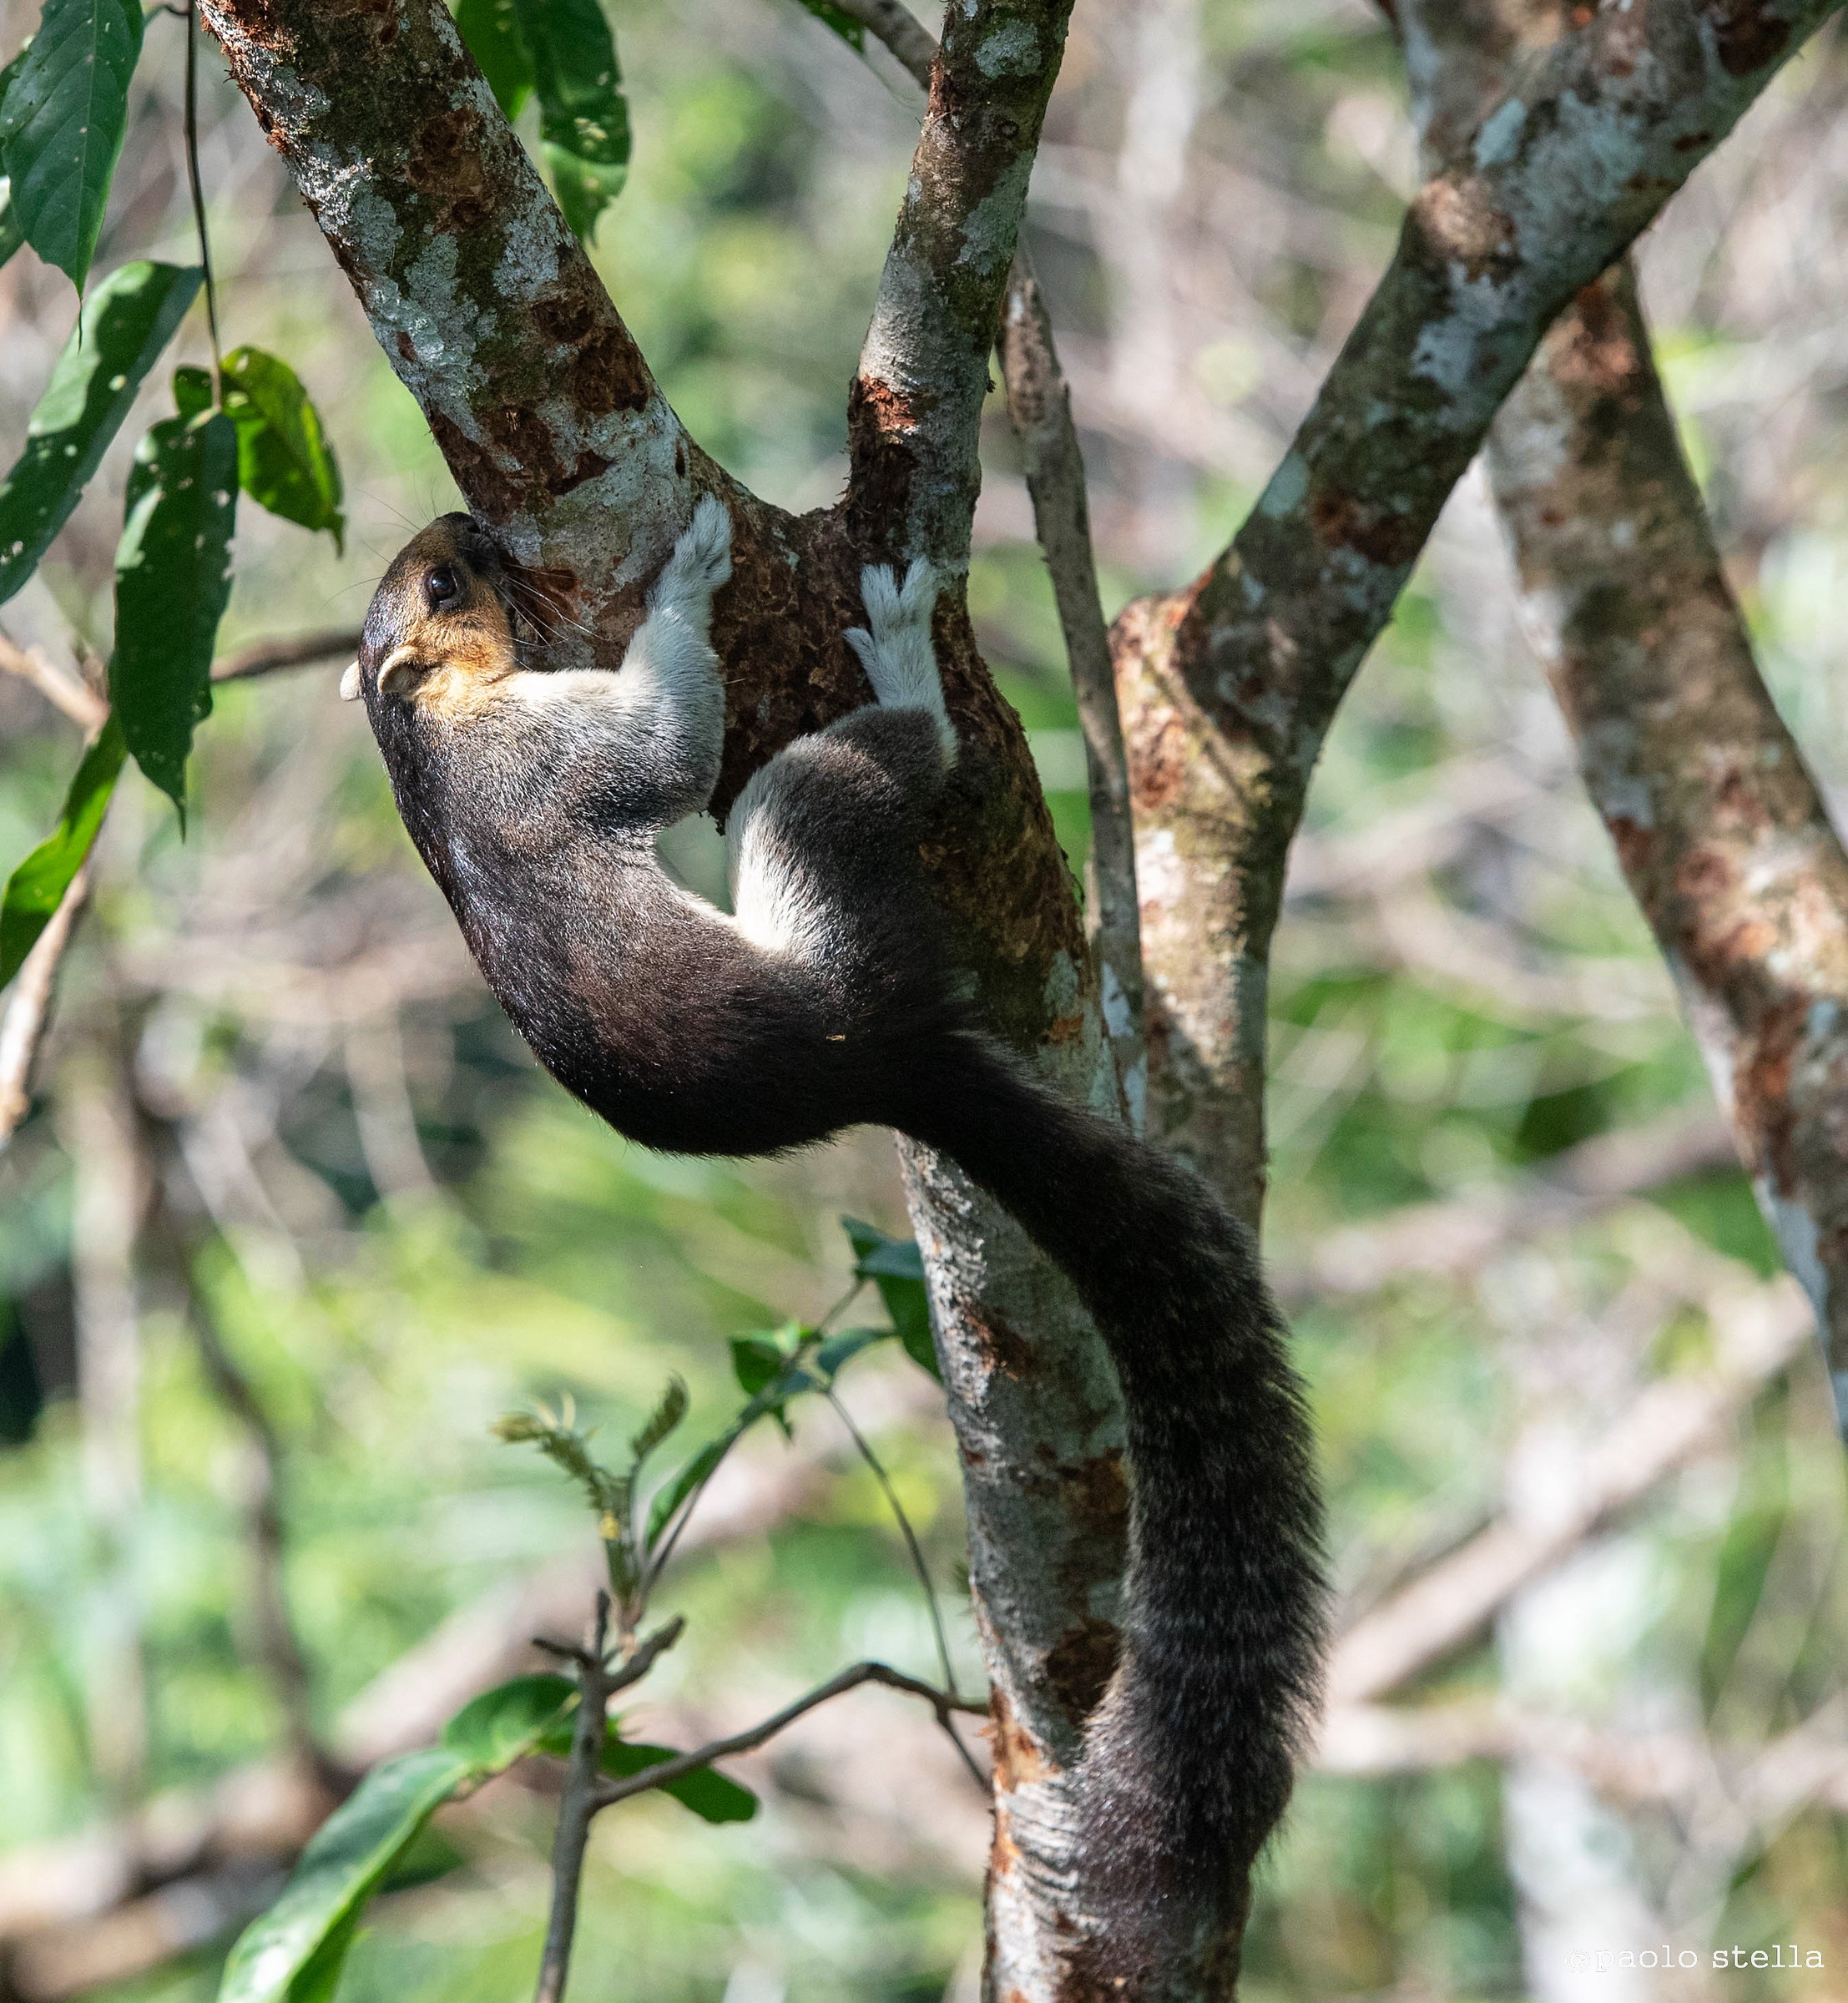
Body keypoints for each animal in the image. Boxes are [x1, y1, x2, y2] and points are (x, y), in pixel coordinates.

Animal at [345, 495, 1325, 1977]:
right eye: (446, 584)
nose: (460, 517)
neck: (421, 742)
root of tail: (889, 1061)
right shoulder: (544, 755)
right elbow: (667, 748)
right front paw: (686, 582)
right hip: (811, 857)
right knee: (810, 782)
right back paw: (907, 662)